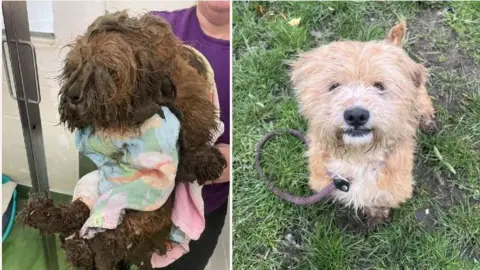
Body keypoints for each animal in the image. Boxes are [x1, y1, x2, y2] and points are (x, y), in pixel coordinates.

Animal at [19, 11, 226, 270]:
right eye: (76, 66)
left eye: (106, 68)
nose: (72, 95)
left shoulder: (188, 89)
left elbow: (195, 118)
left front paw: (203, 159)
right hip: (97, 189)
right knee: (82, 212)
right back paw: (47, 216)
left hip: (151, 209)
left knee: (121, 232)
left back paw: (87, 249)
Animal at [288, 21, 438, 226]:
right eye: (334, 86)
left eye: (379, 86)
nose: (356, 115)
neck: (358, 157)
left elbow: (380, 199)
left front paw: (377, 214)